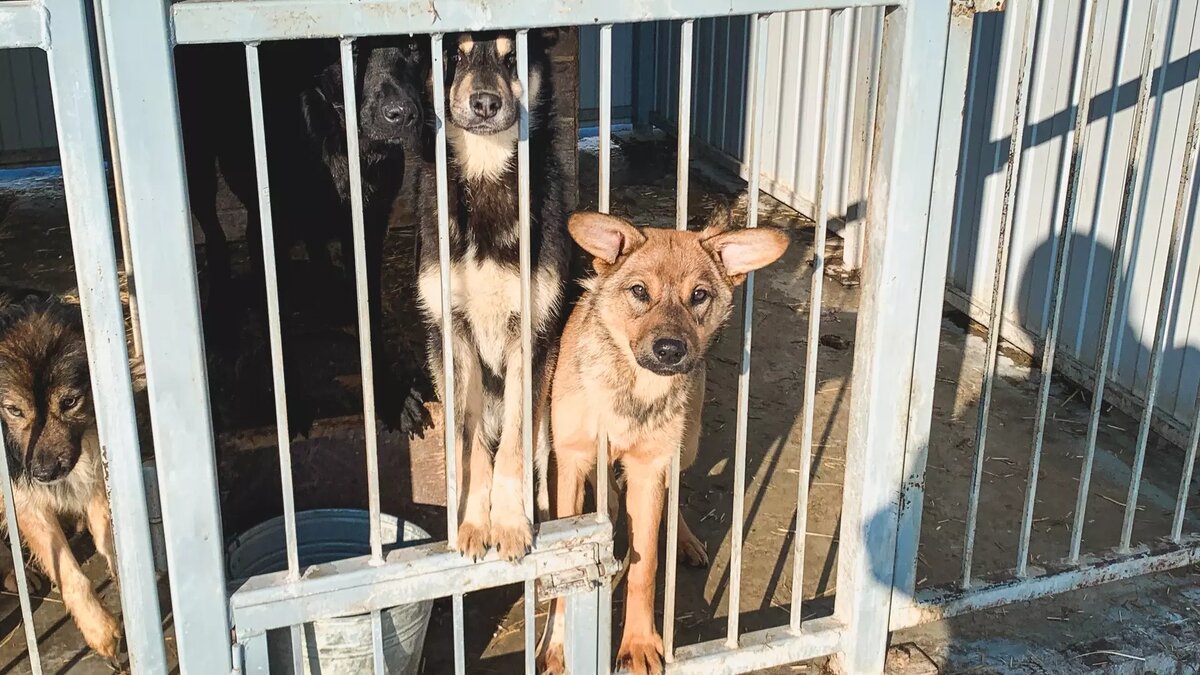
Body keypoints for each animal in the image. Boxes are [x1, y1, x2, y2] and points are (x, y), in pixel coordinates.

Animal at [0, 293, 128, 658]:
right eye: (14, 410)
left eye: (70, 401)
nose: (44, 473)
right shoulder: (23, 499)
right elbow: (71, 574)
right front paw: (99, 629)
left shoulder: (96, 473)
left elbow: (109, 539)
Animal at [540, 207, 792, 667]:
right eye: (640, 291)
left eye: (699, 295)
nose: (670, 351)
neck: (633, 391)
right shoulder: (572, 461)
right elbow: (565, 565)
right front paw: (558, 647)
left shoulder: (648, 468)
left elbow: (646, 567)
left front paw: (639, 644)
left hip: (685, 444)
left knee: (672, 494)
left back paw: (685, 540)